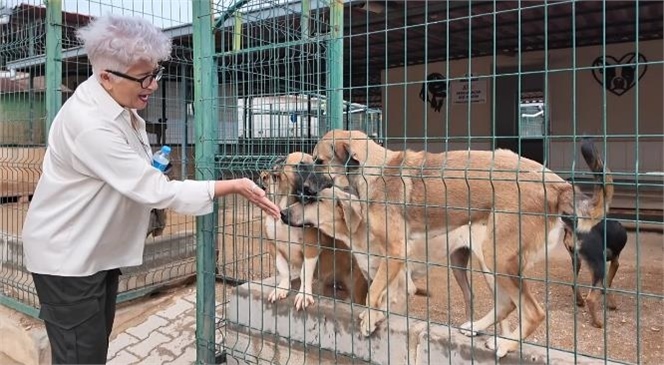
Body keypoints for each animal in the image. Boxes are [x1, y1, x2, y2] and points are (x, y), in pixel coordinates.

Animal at [256, 151, 368, 308]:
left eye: (318, 164)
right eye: (301, 166)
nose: (327, 180)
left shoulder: (310, 248)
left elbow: (305, 273)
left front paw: (303, 295)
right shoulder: (274, 247)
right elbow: (283, 270)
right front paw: (282, 288)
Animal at [300, 129, 612, 356]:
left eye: (319, 161)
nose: (303, 189)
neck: (373, 171)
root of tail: (558, 184)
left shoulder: (396, 253)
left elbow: (375, 292)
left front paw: (368, 319)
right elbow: (380, 293)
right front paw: (373, 317)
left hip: (496, 256)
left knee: (533, 312)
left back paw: (505, 344)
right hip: (486, 261)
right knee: (506, 303)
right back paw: (478, 328)